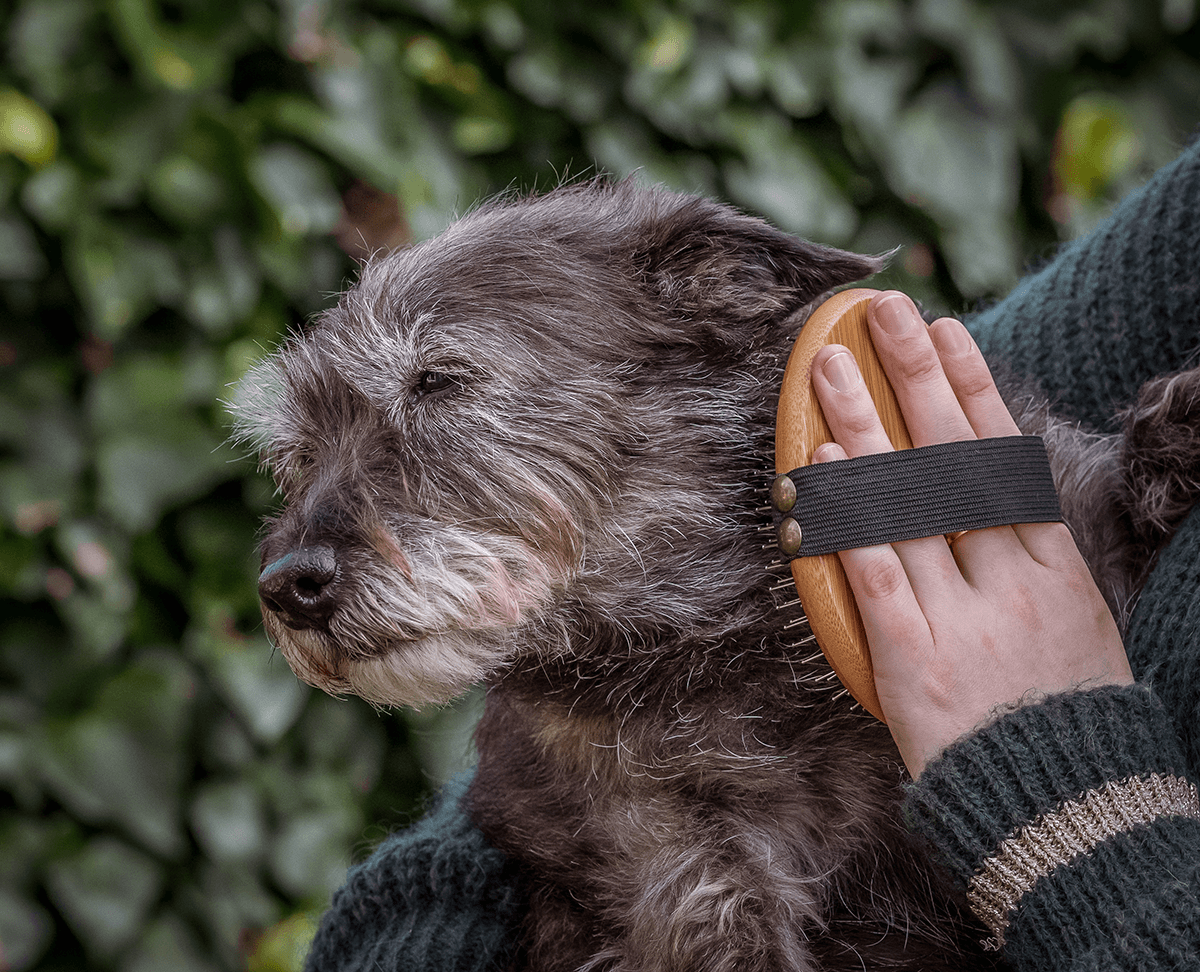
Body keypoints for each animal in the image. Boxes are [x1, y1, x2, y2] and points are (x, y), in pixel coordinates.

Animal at [231, 182, 1200, 969]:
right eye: (296, 452)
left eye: (437, 381)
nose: (287, 586)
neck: (724, 629)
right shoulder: (685, 875)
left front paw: (1182, 424)